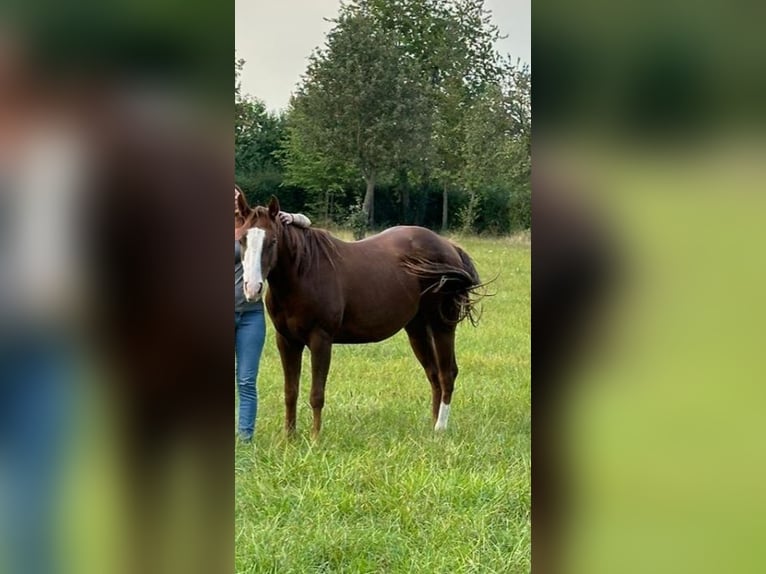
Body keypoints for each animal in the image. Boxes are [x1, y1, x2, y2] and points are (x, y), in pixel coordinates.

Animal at [237, 196, 484, 438]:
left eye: (273, 241)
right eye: (242, 240)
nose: (253, 288)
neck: (304, 272)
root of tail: (449, 246)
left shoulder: (320, 340)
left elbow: (317, 394)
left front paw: (315, 439)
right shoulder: (287, 341)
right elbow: (290, 392)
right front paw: (289, 439)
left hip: (442, 326)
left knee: (447, 374)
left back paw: (440, 429)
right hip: (417, 329)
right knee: (433, 375)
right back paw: (432, 429)